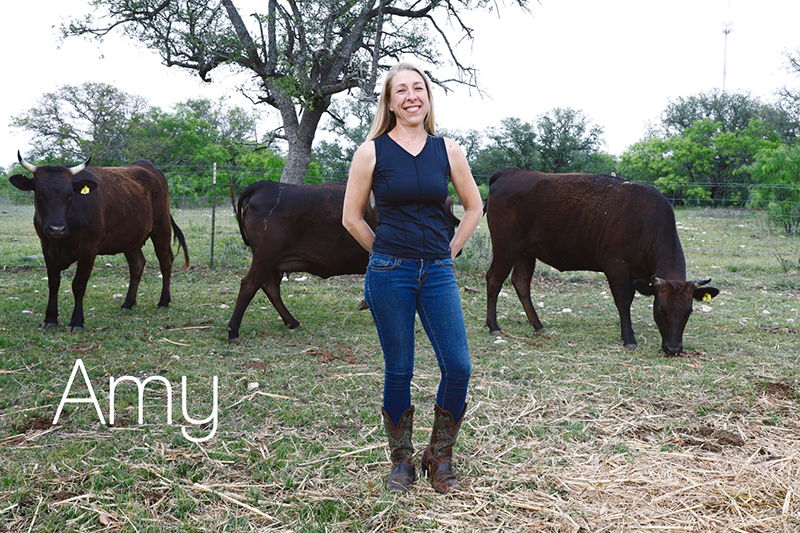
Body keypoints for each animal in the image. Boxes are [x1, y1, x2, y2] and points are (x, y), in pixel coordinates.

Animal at [8, 152, 190, 330]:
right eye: (39, 194)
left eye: (70, 196)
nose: (57, 228)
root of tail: (147, 165)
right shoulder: (46, 246)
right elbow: (53, 282)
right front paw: (50, 318)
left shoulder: (89, 249)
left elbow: (79, 284)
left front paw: (76, 321)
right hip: (129, 238)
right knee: (137, 264)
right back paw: (128, 304)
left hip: (161, 227)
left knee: (165, 260)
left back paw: (163, 302)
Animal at [225, 179, 462, 342]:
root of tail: (266, 185)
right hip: (265, 257)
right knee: (250, 284)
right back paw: (233, 331)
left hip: (273, 263)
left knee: (270, 287)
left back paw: (292, 322)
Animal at [484, 168, 720, 356]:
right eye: (660, 310)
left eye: (689, 311)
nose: (673, 348)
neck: (646, 223)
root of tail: (510, 172)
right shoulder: (616, 266)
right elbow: (623, 300)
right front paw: (629, 338)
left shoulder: (635, 274)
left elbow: (629, 299)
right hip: (506, 246)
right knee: (494, 279)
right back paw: (493, 325)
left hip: (525, 252)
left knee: (521, 283)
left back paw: (538, 325)